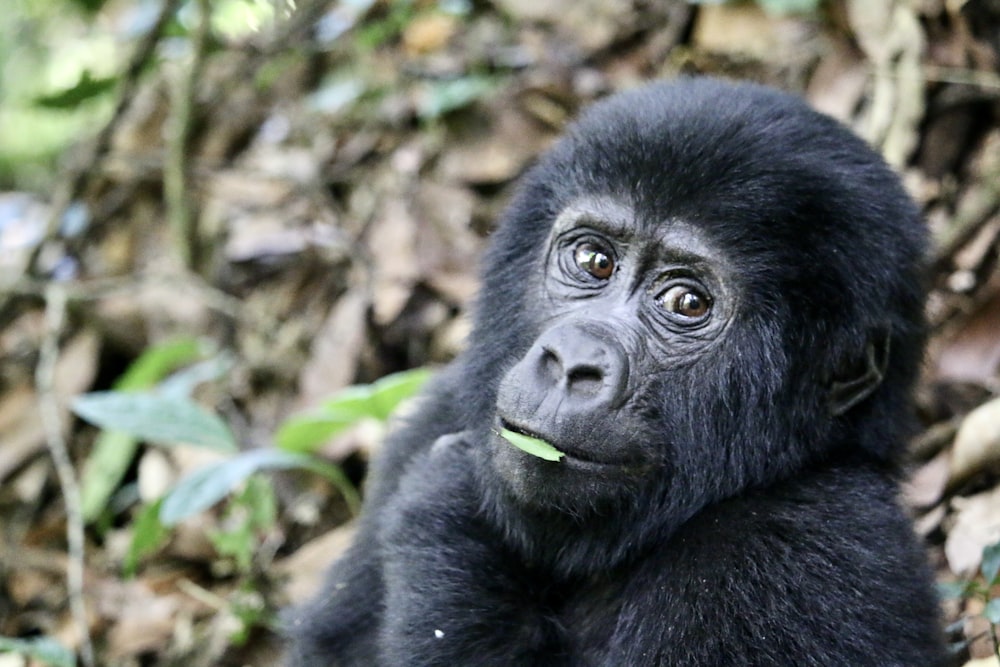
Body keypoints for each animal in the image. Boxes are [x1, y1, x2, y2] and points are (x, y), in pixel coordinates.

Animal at [288, 75, 944, 664]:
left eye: (688, 302)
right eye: (594, 260)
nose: (572, 362)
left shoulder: (805, 546)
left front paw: (446, 517)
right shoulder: (438, 411)